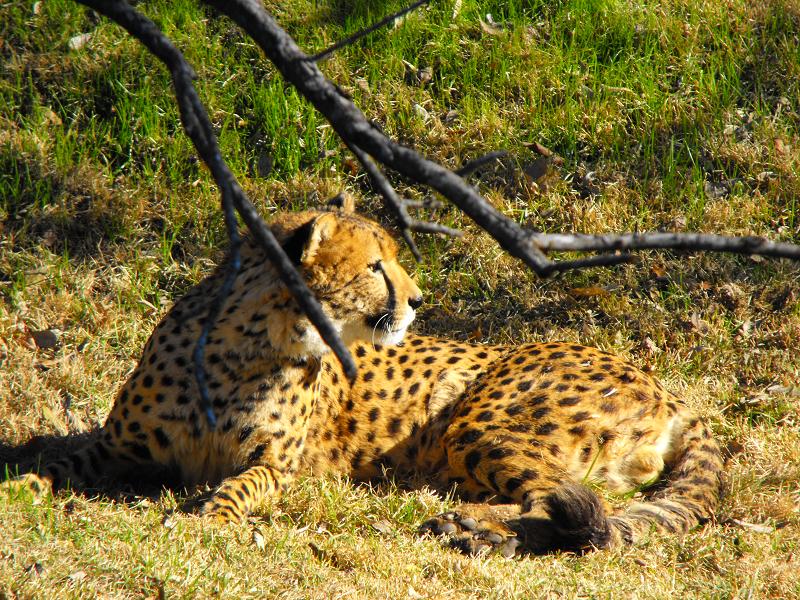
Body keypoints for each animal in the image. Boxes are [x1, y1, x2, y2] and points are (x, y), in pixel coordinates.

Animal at [3, 206, 724, 556]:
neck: (247, 342)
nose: (419, 299)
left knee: (576, 505)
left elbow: (239, 485)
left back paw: (471, 528)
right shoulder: (119, 448)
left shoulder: (279, 465)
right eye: (377, 266)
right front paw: (21, 488)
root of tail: (664, 385)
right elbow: (61, 464)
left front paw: (214, 514)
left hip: (480, 421)